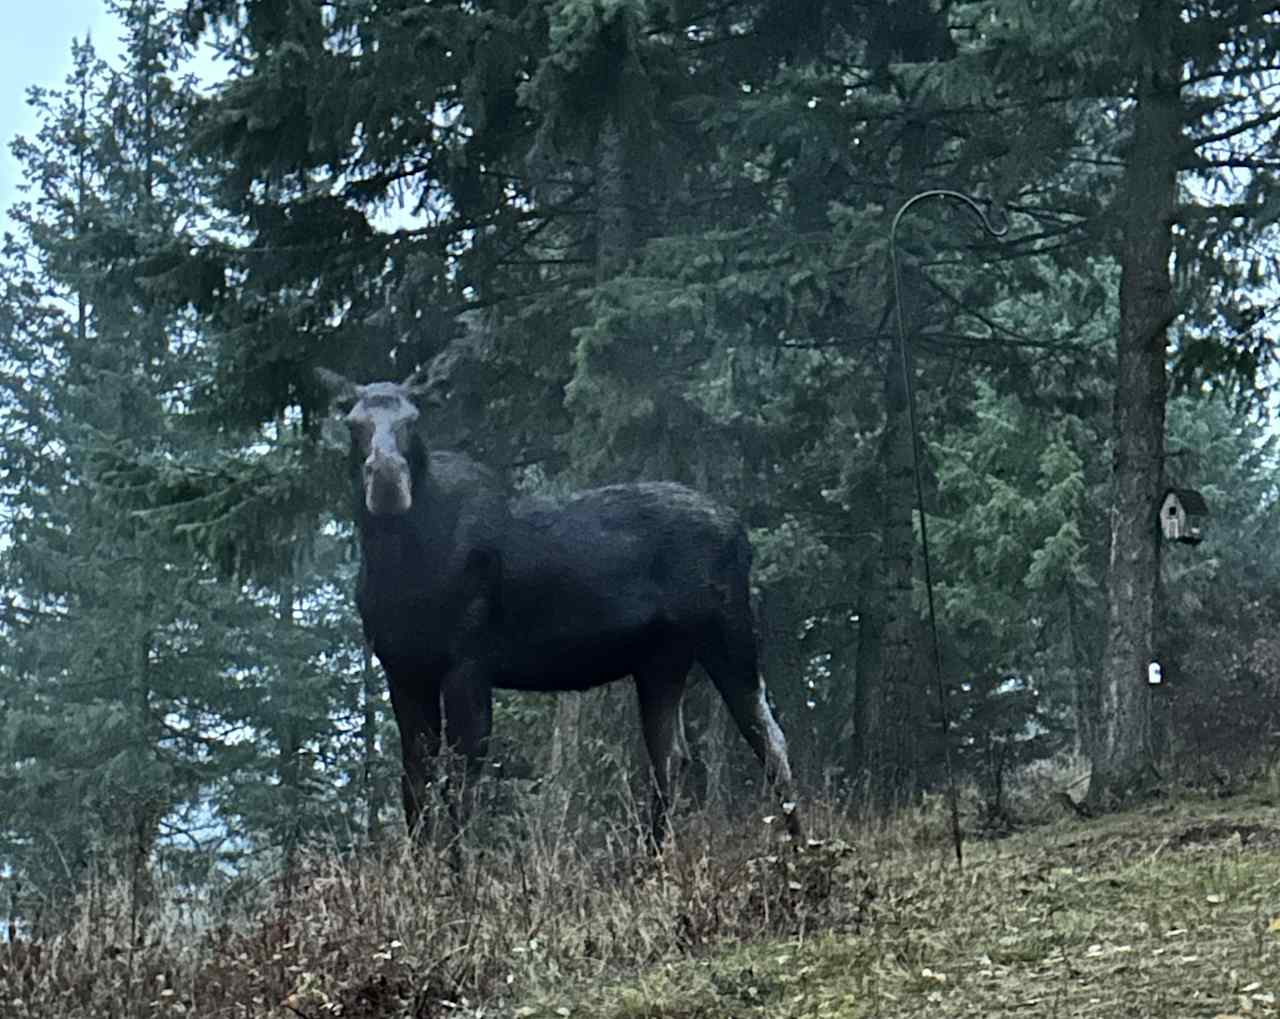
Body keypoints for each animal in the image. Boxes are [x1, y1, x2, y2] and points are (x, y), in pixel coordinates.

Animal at [320, 366, 798, 844]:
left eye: (414, 419)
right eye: (353, 424)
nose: (386, 479)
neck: (400, 566)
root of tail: (741, 533)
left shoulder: (468, 663)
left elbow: (461, 786)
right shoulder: (402, 669)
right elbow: (414, 788)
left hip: (727, 631)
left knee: (769, 737)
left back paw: (798, 848)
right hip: (661, 660)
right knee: (672, 755)